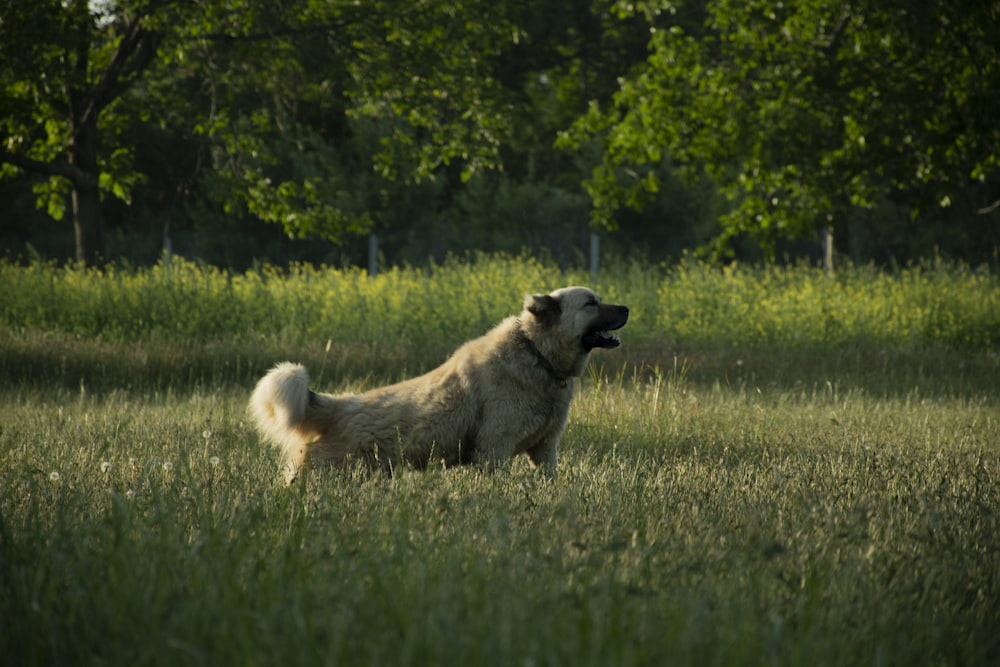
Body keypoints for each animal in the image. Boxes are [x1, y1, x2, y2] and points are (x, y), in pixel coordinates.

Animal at [248, 284, 624, 482]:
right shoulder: (495, 449)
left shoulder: (545, 451)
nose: (628, 308)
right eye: (591, 303)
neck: (536, 351)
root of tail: (336, 406)